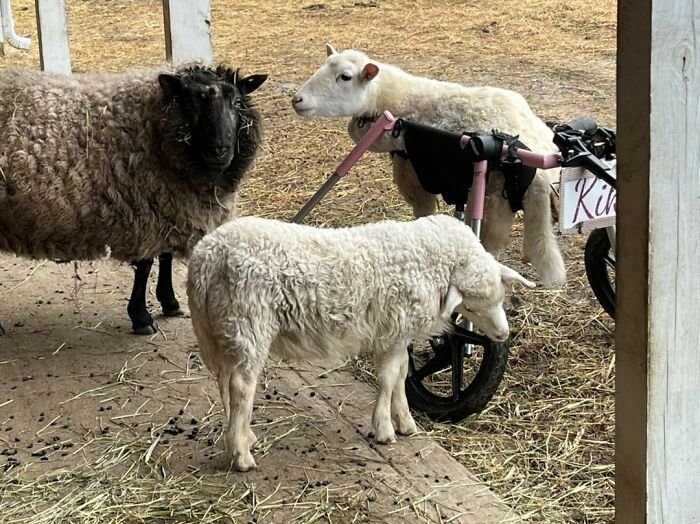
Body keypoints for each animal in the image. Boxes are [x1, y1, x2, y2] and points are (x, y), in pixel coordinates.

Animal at [0, 63, 267, 336]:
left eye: (236, 101)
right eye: (190, 104)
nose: (219, 151)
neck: (154, 130)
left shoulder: (166, 207)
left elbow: (166, 256)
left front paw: (169, 302)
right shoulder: (142, 209)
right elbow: (145, 266)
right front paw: (141, 317)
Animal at [186, 214, 535, 471]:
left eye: (499, 298)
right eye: (471, 307)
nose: (502, 335)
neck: (425, 261)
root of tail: (206, 256)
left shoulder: (399, 333)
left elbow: (401, 375)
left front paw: (405, 421)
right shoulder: (395, 327)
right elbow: (389, 378)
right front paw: (384, 429)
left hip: (226, 329)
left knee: (227, 383)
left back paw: (243, 438)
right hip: (249, 322)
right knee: (242, 386)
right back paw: (242, 456)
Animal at [291, 44, 566, 288]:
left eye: (345, 77)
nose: (297, 99)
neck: (395, 99)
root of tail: (540, 172)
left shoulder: (412, 172)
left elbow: (423, 213)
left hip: (493, 198)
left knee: (489, 245)